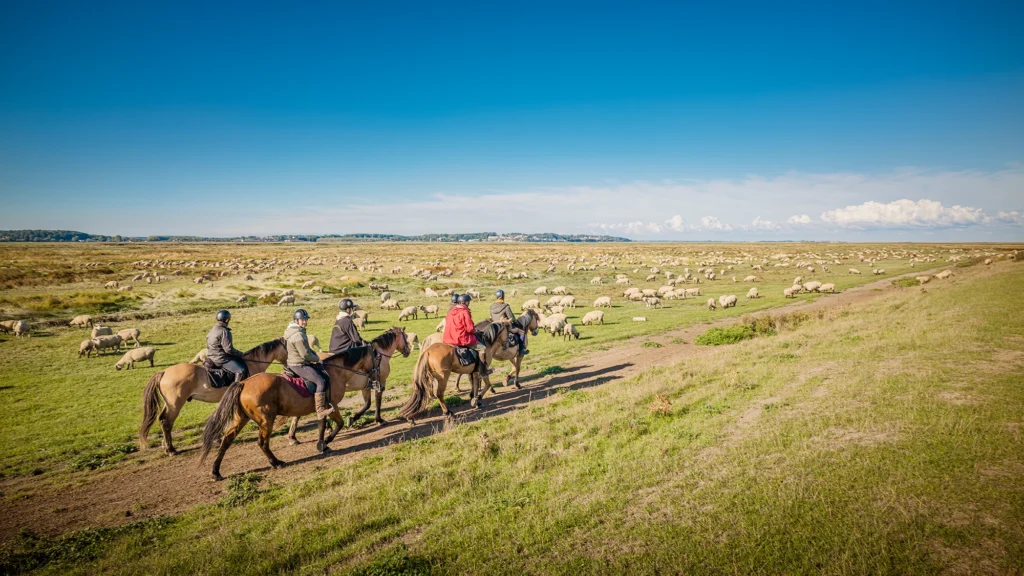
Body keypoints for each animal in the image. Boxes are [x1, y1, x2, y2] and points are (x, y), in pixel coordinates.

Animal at [139, 338, 288, 454]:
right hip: (175, 404)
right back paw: (171, 449)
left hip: (169, 404)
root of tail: (164, 372)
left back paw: (165, 446)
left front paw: (217, 437)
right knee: (166, 422)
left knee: (162, 419)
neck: (252, 363)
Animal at [200, 327, 410, 481]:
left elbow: (326, 422)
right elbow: (345, 419)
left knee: (227, 440)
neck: (338, 371)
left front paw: (324, 441)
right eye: (377, 358)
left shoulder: (327, 405)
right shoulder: (334, 403)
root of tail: (243, 383)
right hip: (265, 420)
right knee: (262, 442)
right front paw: (327, 441)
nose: (408, 350)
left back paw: (216, 471)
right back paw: (276, 461)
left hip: (241, 418)